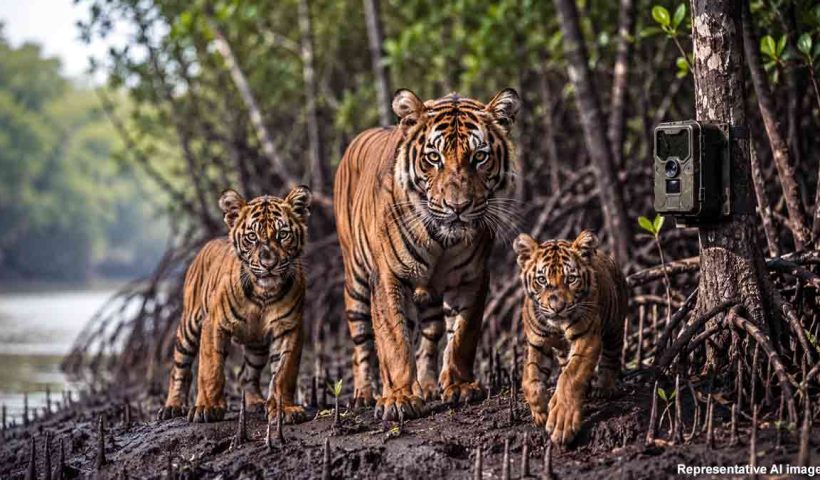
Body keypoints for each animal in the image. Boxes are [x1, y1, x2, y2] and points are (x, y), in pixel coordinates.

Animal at [157, 185, 312, 424]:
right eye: (252, 237)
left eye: (282, 234)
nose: (268, 263)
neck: (263, 295)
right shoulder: (213, 324)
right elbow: (211, 368)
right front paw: (207, 407)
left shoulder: (290, 327)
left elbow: (284, 372)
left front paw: (284, 409)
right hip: (188, 327)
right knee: (179, 370)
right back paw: (172, 406)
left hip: (257, 345)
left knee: (246, 375)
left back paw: (256, 402)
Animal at [333, 88, 521, 420]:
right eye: (434, 157)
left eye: (479, 156)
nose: (457, 207)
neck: (442, 242)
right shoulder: (389, 277)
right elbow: (394, 340)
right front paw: (398, 398)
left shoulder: (473, 278)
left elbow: (462, 335)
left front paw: (459, 387)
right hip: (355, 281)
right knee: (362, 343)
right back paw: (364, 395)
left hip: (430, 293)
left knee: (431, 333)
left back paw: (429, 386)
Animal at [513, 230, 628, 445]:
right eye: (542, 280)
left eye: (571, 279)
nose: (557, 307)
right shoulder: (536, 343)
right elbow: (530, 379)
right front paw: (540, 411)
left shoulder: (586, 339)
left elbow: (570, 377)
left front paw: (562, 421)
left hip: (615, 325)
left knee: (612, 357)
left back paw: (604, 388)